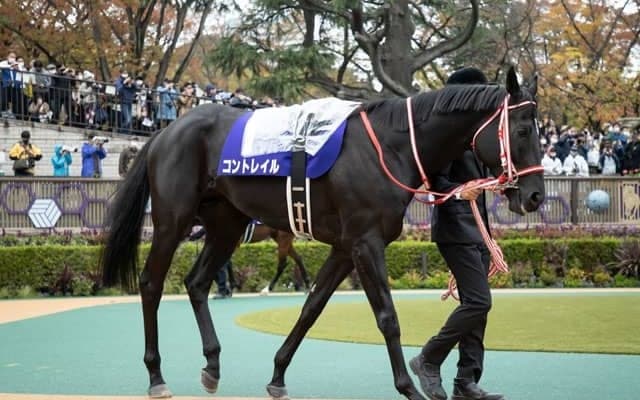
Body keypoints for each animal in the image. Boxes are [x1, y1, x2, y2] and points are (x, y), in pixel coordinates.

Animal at [100, 66, 544, 400]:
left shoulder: (345, 249)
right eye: (523, 131)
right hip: (172, 221)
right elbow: (388, 317)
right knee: (151, 283)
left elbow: (311, 308)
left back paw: (212, 364)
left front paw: (278, 375)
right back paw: (156, 376)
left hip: (226, 224)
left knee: (196, 282)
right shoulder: (366, 244)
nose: (535, 196)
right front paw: (409, 387)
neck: (390, 147)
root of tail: (166, 131)